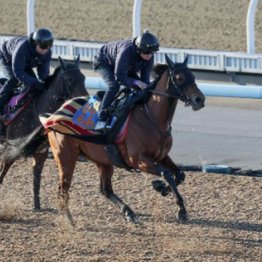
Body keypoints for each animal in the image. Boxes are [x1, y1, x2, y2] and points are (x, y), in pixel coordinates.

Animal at [0, 56, 88, 210]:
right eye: (69, 79)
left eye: (83, 78)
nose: (85, 102)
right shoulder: (11, 149)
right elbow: (2, 172)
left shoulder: (40, 152)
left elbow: (37, 178)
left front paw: (37, 206)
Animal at [48, 54, 206, 223]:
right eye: (180, 78)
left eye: (193, 76)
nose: (200, 100)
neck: (151, 118)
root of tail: (54, 114)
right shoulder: (139, 160)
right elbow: (167, 174)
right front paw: (181, 209)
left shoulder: (162, 156)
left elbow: (179, 175)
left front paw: (161, 188)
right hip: (66, 158)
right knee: (62, 189)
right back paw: (69, 220)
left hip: (103, 160)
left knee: (105, 190)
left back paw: (128, 212)